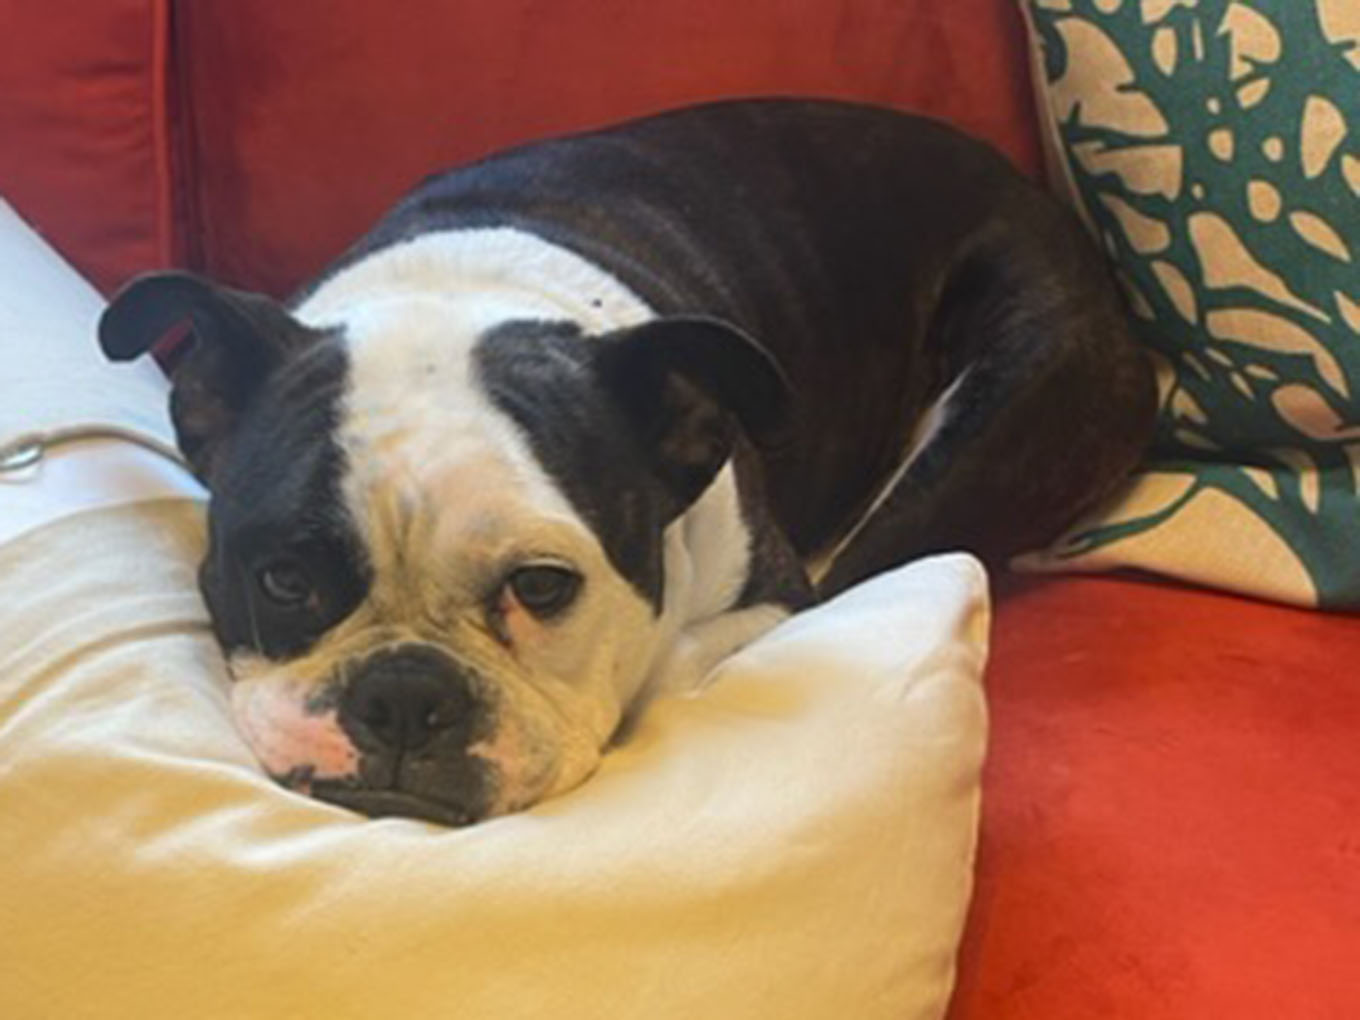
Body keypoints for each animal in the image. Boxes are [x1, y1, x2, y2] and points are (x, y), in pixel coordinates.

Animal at [98, 99, 1158, 826]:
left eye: (542, 586)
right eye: (282, 579)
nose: (404, 693)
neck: (461, 294)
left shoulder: (770, 595)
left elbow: (681, 659)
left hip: (998, 407)